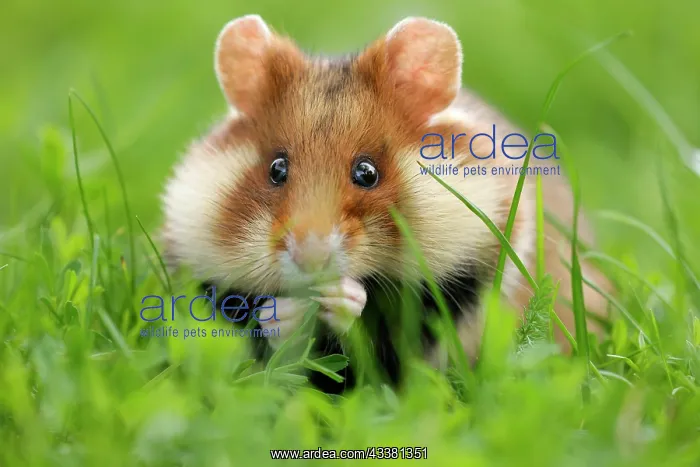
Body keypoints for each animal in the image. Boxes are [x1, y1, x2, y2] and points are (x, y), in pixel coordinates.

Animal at [161, 15, 610, 392]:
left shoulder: (460, 286)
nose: (312, 258)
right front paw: (284, 313)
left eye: (367, 172)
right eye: (276, 169)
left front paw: (342, 297)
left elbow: (387, 325)